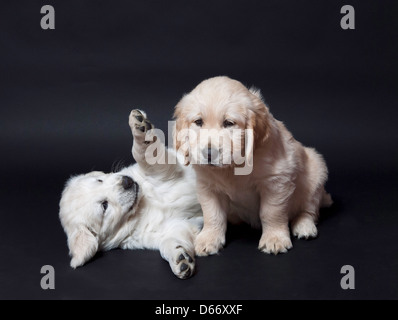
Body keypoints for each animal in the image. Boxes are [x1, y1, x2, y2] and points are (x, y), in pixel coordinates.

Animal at [59, 109, 202, 278]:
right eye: (104, 206)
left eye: (100, 180)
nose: (127, 181)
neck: (142, 205)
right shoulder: (173, 227)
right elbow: (170, 241)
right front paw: (180, 259)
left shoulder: (162, 170)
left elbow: (144, 155)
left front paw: (140, 129)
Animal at [174, 76, 332, 256]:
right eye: (198, 122)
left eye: (229, 123)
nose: (209, 153)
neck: (231, 167)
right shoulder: (208, 186)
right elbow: (212, 214)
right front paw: (209, 238)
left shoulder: (276, 181)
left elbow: (271, 212)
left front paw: (274, 239)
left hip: (316, 172)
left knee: (309, 210)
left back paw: (304, 226)